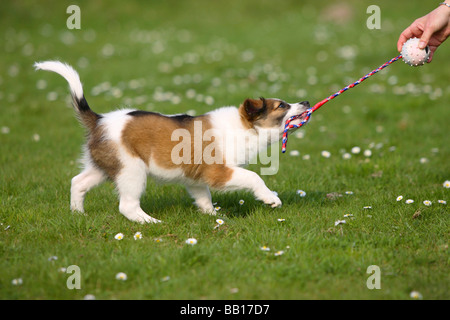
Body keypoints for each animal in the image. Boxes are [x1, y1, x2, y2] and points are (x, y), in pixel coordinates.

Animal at [35, 61, 310, 224]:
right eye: (282, 106)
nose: (306, 101)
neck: (244, 127)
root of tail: (99, 120)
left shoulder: (196, 178)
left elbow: (203, 198)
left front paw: (213, 216)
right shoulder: (219, 171)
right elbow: (254, 177)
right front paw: (270, 199)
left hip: (104, 166)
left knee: (78, 182)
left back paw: (77, 214)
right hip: (131, 170)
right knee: (127, 205)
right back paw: (150, 223)